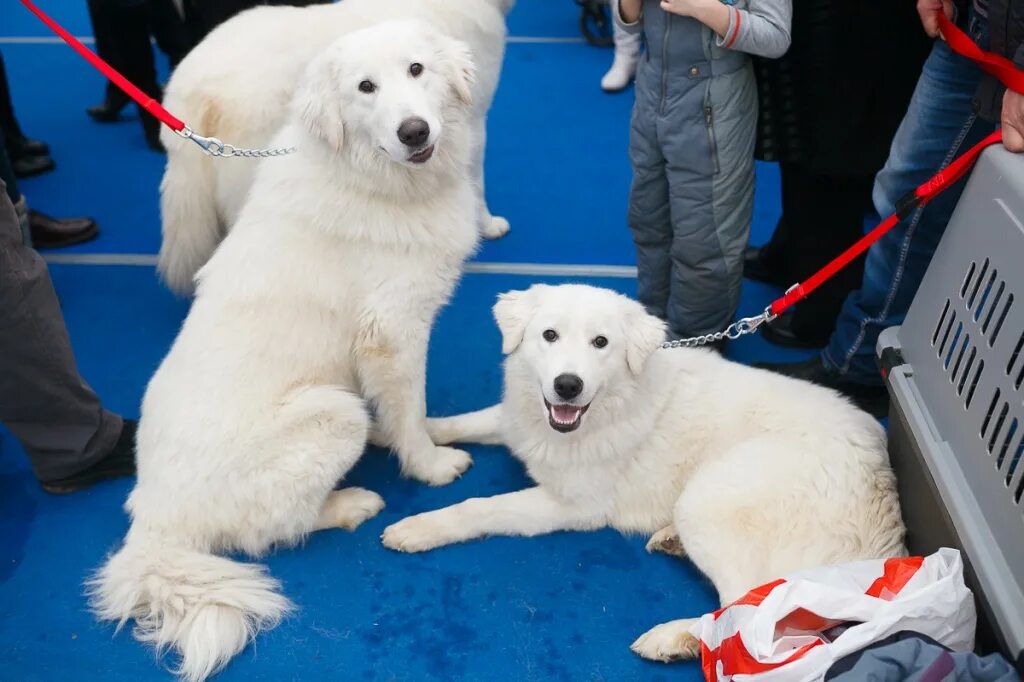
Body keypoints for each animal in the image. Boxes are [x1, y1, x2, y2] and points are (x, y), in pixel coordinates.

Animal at [90, 22, 481, 679]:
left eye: (417, 70)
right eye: (366, 87)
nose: (414, 131)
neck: (373, 177)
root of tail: (153, 523)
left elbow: (406, 409)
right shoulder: (394, 330)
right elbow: (410, 408)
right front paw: (429, 464)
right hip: (333, 413)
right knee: (272, 531)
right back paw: (351, 503)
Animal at [158, 0, 516, 292]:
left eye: (416, 69)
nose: (414, 134)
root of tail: (187, 83)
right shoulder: (474, 124)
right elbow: (477, 183)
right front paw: (488, 225)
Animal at [382, 280, 905, 659]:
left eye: (601, 343)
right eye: (549, 336)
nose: (567, 385)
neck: (604, 409)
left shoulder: (573, 505)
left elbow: (479, 507)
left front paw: (419, 527)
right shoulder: (518, 420)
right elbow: (466, 422)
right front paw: (411, 435)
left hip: (707, 497)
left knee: (747, 609)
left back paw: (675, 638)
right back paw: (671, 543)